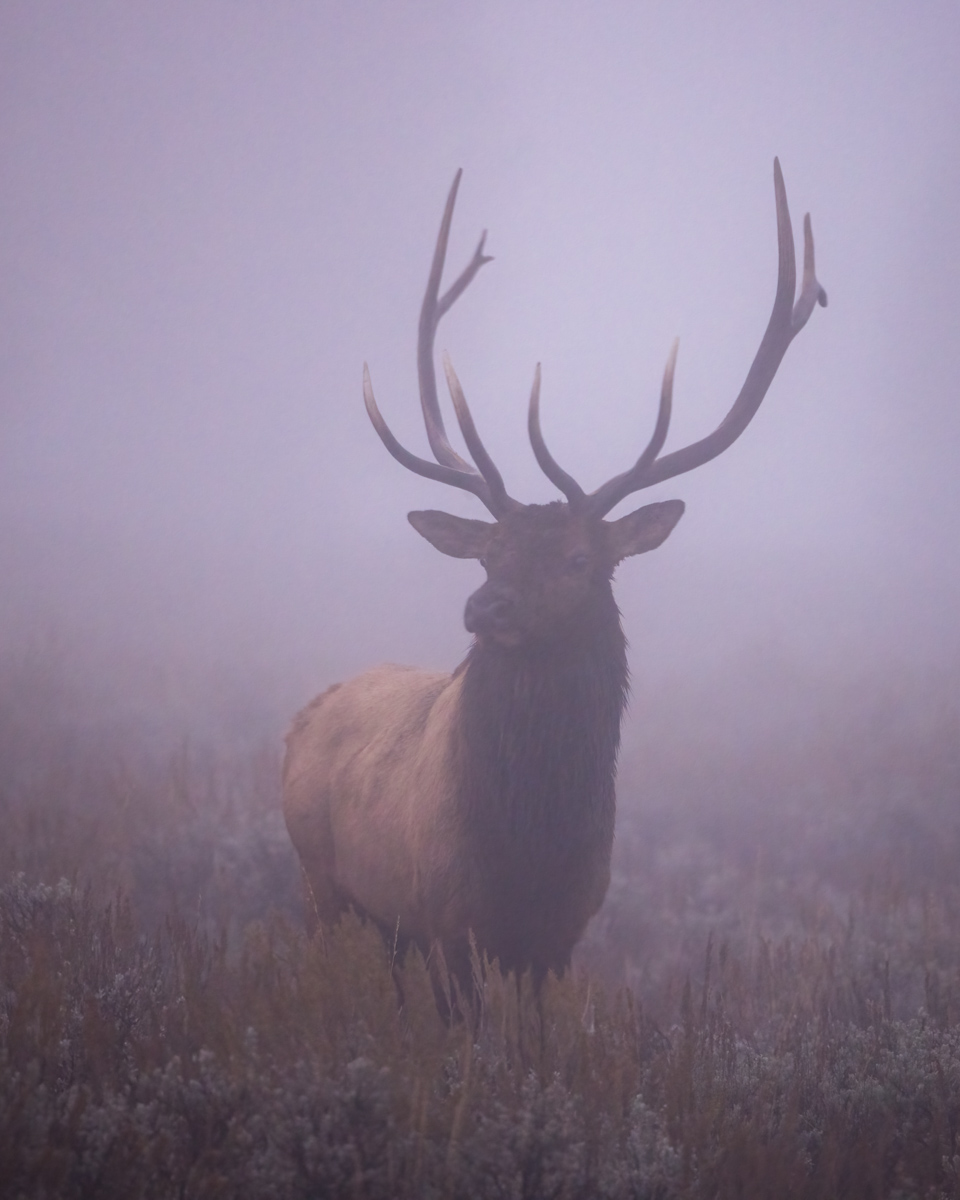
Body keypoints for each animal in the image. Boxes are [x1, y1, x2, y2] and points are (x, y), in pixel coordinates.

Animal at [279, 159, 825, 984]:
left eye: (578, 558)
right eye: (488, 552)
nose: (485, 609)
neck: (530, 848)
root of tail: (303, 716)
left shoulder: (561, 937)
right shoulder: (450, 925)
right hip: (321, 886)